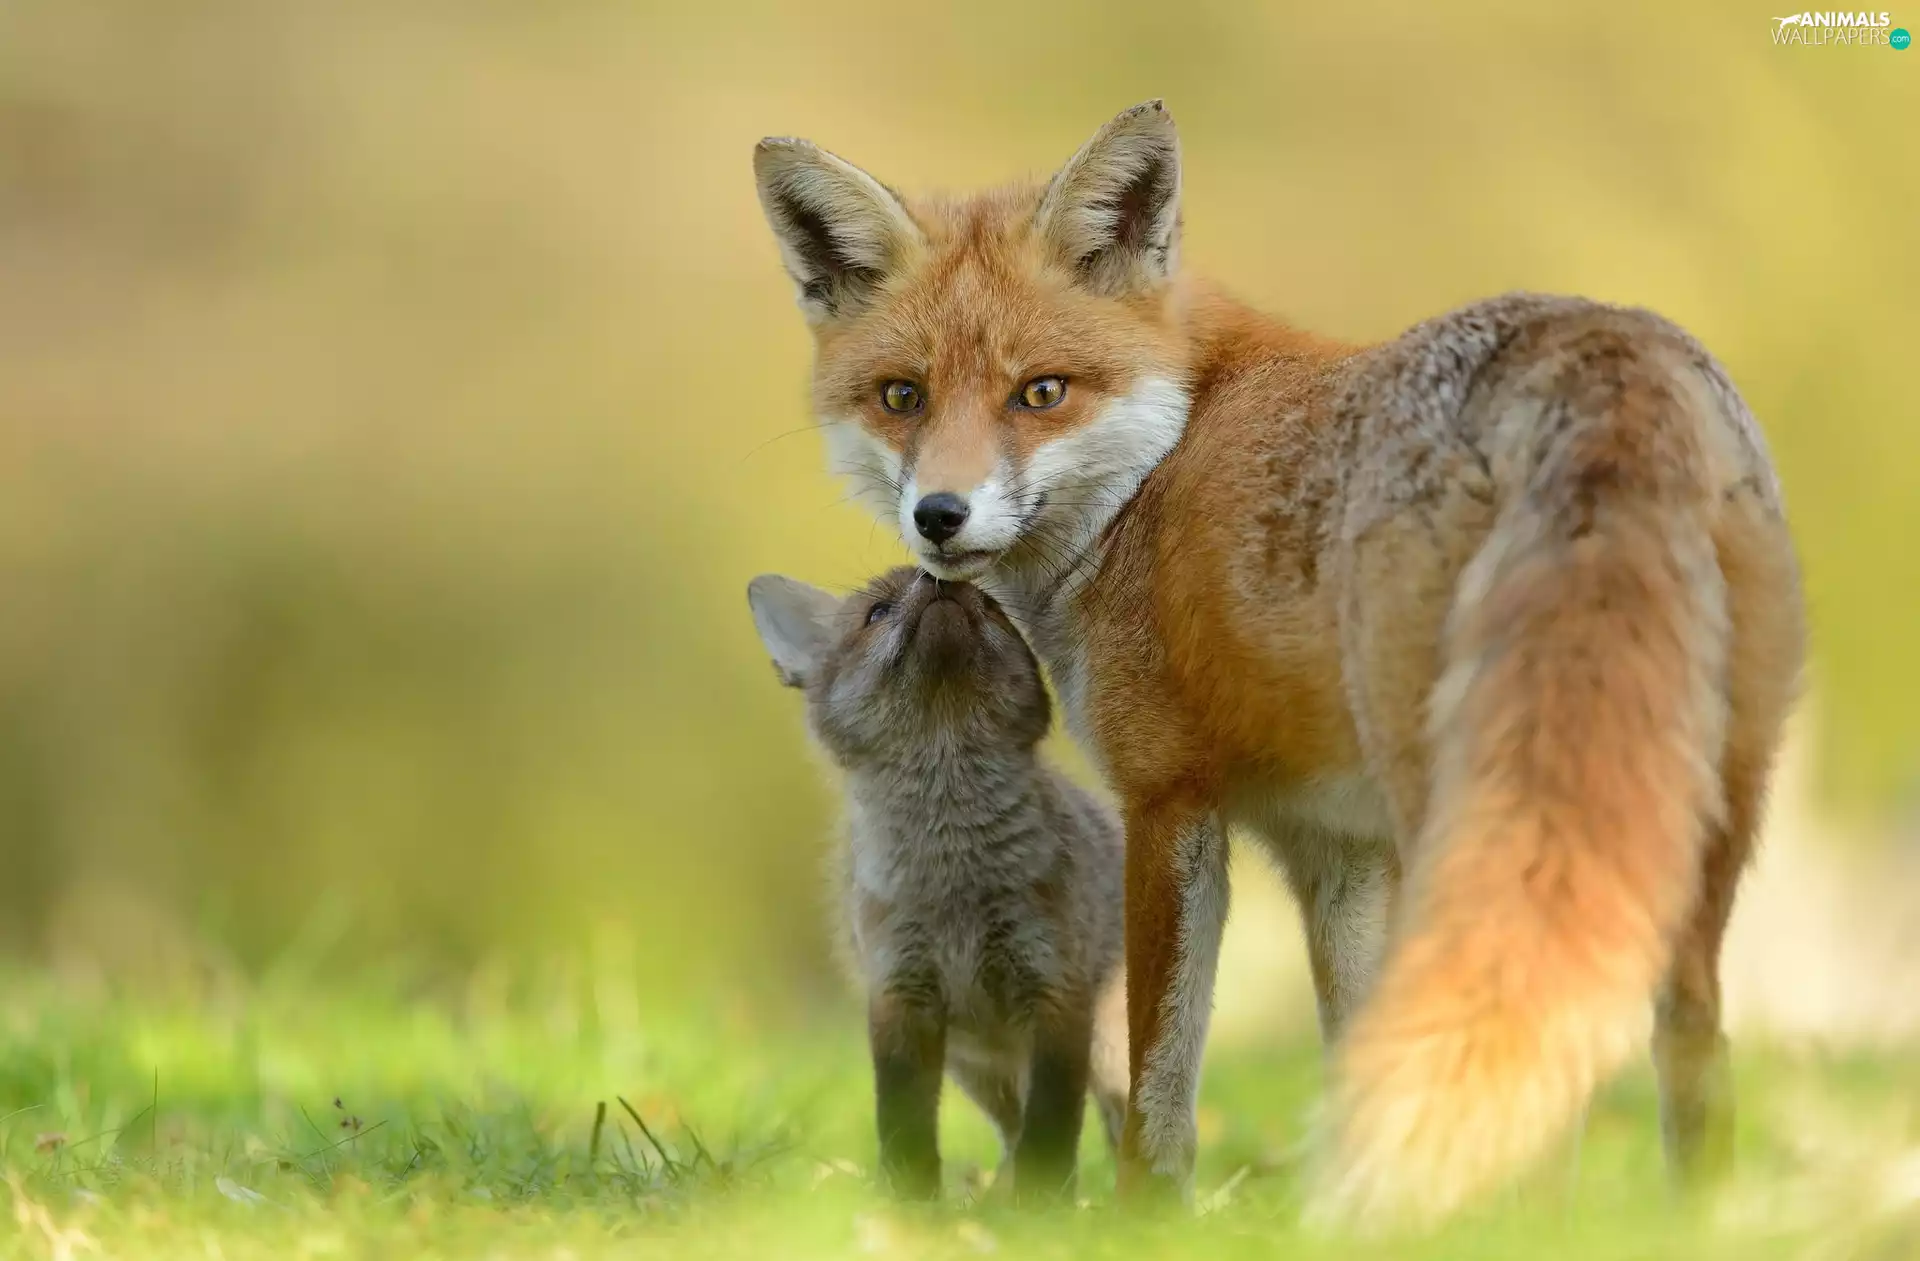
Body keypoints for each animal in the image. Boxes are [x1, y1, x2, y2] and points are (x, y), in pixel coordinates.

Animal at [747, 566, 1129, 1204]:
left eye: (992, 606)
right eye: (876, 612)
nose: (936, 576)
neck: (956, 882)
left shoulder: (1056, 993)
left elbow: (1052, 1129)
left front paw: (1043, 1206)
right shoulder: (901, 996)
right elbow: (904, 1124)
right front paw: (912, 1205)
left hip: (1109, 1052)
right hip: (978, 1071)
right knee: (1011, 1129)